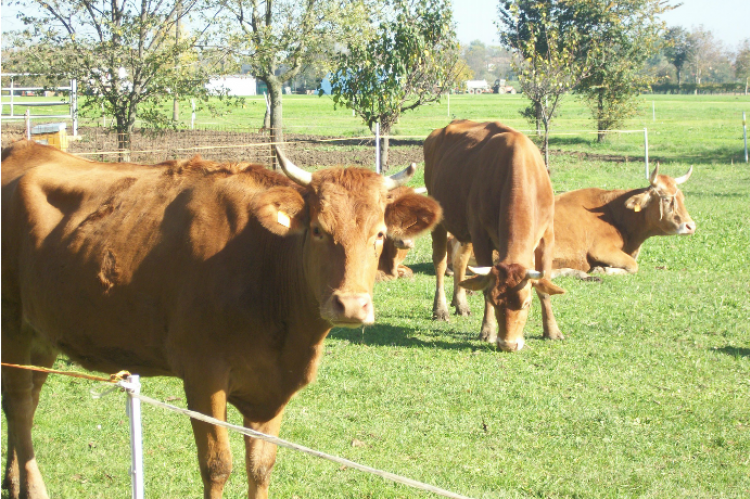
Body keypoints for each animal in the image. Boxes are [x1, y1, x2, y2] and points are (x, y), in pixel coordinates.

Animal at [0, 140, 444, 499]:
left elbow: (261, 466)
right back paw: (32, 488)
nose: (350, 305)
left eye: (380, 234)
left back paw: (14, 481)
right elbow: (217, 466)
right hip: (12, 329)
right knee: (19, 405)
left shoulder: (272, 386)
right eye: (318, 230)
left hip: (41, 335)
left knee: (26, 402)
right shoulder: (202, 374)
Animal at [426, 119, 568, 354]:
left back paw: (461, 303)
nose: (508, 345)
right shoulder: (481, 236)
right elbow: (484, 285)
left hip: (465, 231)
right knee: (440, 262)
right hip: (440, 219)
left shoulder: (547, 237)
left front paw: (552, 330)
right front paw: (488, 331)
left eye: (526, 303)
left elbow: (544, 286)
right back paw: (441, 309)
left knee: (460, 262)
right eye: (494, 301)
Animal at [552, 165, 700, 280]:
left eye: (682, 198)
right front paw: (603, 269)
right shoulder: (601, 249)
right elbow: (633, 265)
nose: (690, 226)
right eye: (666, 199)